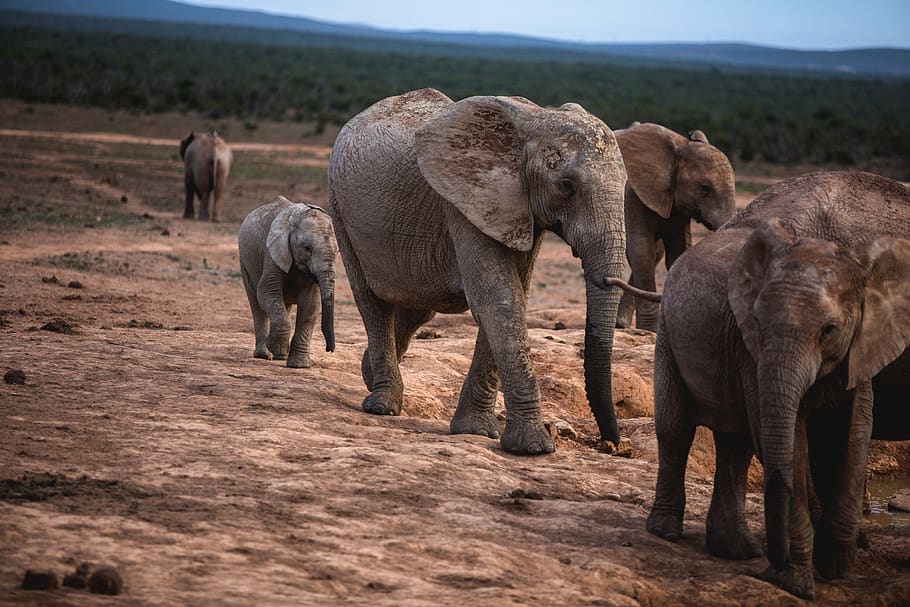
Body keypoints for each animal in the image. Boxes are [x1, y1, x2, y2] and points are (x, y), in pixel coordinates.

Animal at [238, 195, 337, 368]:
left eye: (337, 251)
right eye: (307, 248)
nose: (329, 349)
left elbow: (310, 305)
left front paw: (299, 366)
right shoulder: (271, 253)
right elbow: (267, 293)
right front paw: (275, 348)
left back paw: (280, 356)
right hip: (245, 262)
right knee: (256, 303)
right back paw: (265, 355)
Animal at [327, 88, 629, 455]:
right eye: (567, 185)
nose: (612, 444)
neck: (534, 121)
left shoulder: (518, 207)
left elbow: (513, 297)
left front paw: (477, 432)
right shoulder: (463, 203)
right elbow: (500, 299)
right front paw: (532, 448)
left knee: (418, 309)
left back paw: (368, 373)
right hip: (339, 206)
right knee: (372, 301)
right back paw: (382, 404)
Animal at [613, 122, 736, 331]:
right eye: (704, 188)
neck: (680, 147)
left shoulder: (678, 209)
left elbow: (677, 252)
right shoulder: (631, 196)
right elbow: (641, 252)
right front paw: (648, 330)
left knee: (657, 253)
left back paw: (619, 324)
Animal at [644, 171, 910, 599]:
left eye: (830, 329)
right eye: (757, 320)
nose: (774, 569)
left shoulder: (865, 340)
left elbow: (853, 436)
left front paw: (836, 566)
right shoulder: (748, 345)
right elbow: (796, 446)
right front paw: (802, 582)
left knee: (735, 443)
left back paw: (739, 550)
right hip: (669, 335)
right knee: (677, 428)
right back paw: (667, 532)